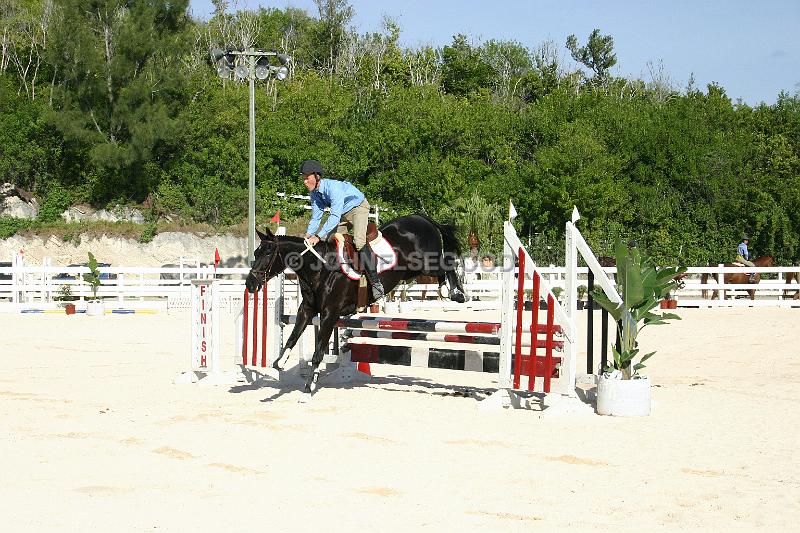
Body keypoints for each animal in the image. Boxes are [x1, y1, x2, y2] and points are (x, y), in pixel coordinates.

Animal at [245, 213, 468, 394]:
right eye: (256, 253)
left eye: (267, 254)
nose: (250, 284)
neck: (319, 268)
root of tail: (421, 218)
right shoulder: (307, 310)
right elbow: (293, 336)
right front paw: (280, 362)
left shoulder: (330, 314)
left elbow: (318, 353)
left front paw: (309, 388)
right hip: (411, 271)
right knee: (441, 271)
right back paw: (446, 290)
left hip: (426, 263)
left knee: (447, 264)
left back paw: (458, 293)